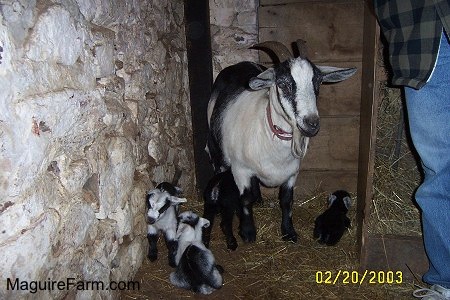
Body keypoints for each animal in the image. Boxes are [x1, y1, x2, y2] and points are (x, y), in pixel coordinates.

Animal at [206, 41, 356, 244]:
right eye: (283, 83)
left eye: (317, 82)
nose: (311, 123)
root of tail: (239, 64)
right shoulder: (241, 170)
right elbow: (245, 199)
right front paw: (248, 233)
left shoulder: (292, 173)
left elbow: (286, 201)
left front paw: (289, 232)